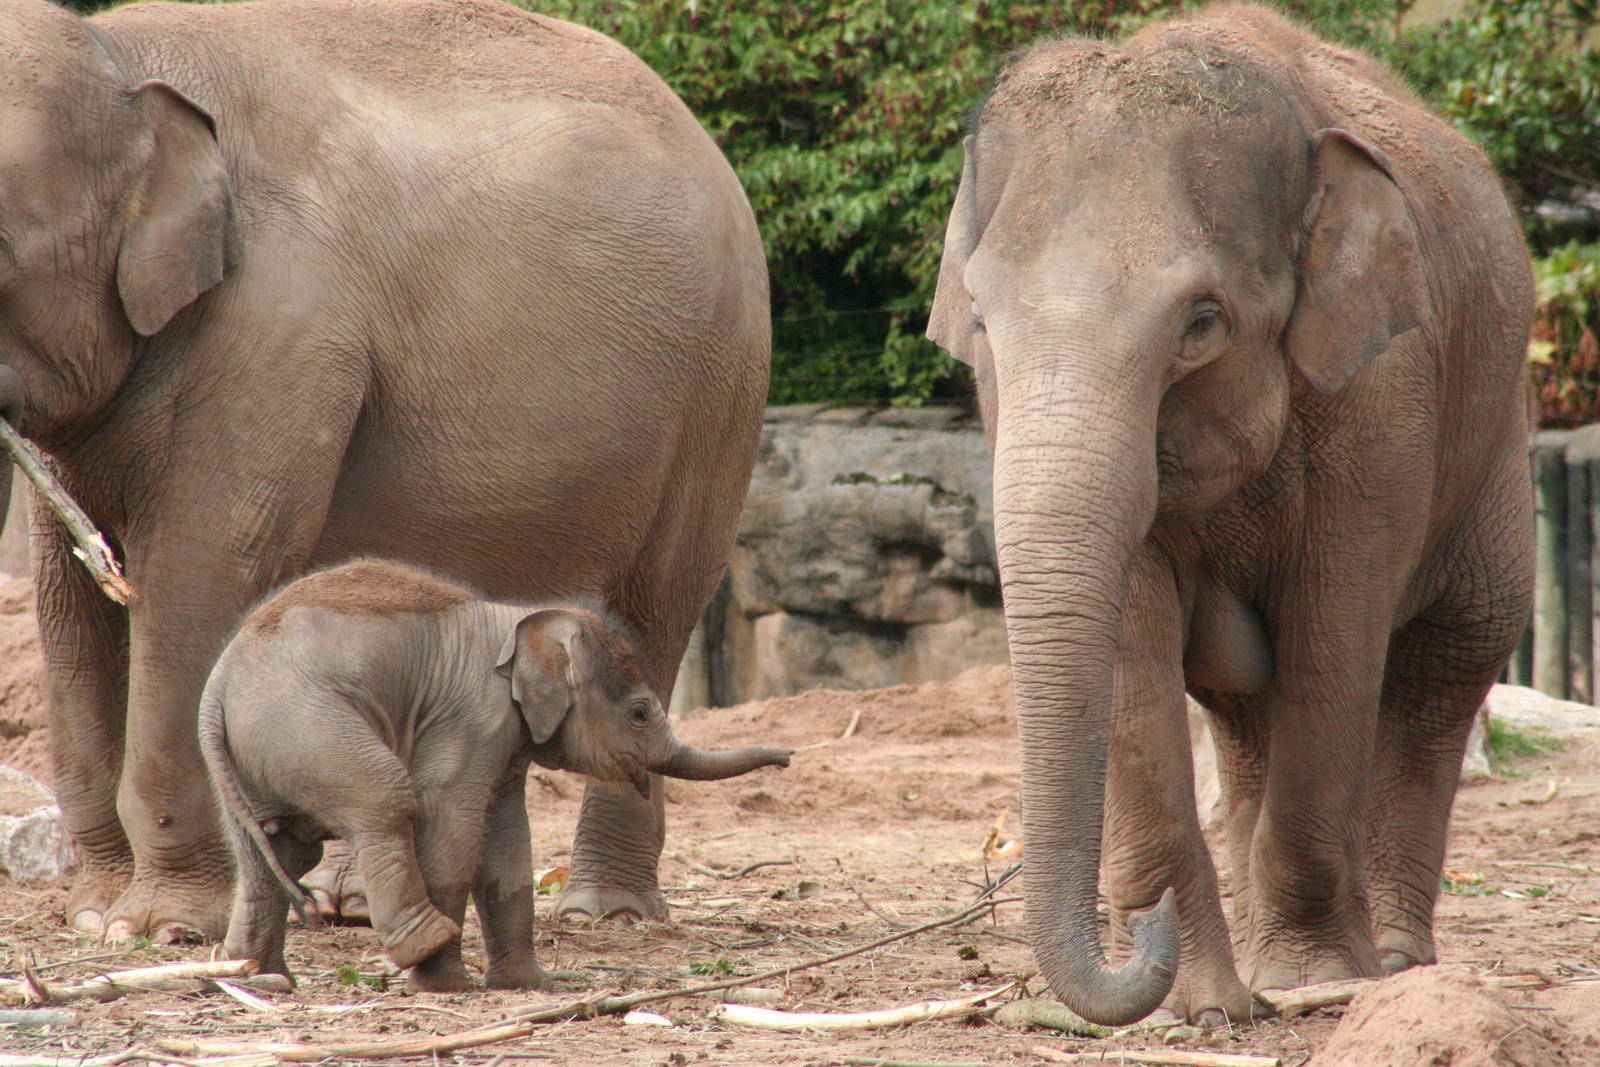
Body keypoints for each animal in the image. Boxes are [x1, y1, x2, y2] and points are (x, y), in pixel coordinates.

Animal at [0, 0, 768, 943]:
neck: (120, 53)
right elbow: (65, 590)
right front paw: (97, 913)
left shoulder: (275, 325)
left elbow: (196, 572)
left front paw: (162, 927)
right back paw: (358, 902)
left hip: (718, 391)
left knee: (656, 606)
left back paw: (605, 911)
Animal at [200, 560, 791, 990]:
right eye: (640, 712)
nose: (787, 757)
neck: (524, 618)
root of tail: (220, 679)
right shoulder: (473, 717)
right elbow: (452, 822)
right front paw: (446, 986)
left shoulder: (509, 735)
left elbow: (508, 839)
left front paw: (533, 986)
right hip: (306, 724)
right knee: (385, 799)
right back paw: (420, 940)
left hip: (258, 751)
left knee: (277, 849)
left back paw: (260, 980)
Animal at [927, 4, 1534, 1026]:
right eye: (978, 318)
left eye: (1201, 323)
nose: (1147, 928)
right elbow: (1131, 640)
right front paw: (1205, 1007)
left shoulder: (1383, 394)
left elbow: (1336, 638)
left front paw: (1312, 978)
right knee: (1249, 709)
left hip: (1497, 445)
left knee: (1446, 665)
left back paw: (1393, 961)